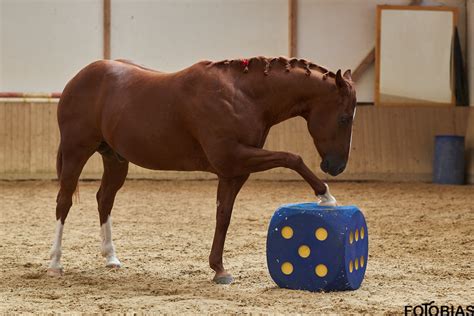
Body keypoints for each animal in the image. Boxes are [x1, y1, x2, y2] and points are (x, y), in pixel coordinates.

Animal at [48, 56, 358, 284]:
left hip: (115, 159)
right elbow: (293, 158)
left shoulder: (234, 172)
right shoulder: (234, 158)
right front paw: (325, 196)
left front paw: (219, 269)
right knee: (63, 202)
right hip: (76, 152)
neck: (242, 96)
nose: (336, 166)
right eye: (344, 118)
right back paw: (55, 262)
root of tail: (80, 77)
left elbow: (223, 217)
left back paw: (111, 257)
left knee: (104, 199)